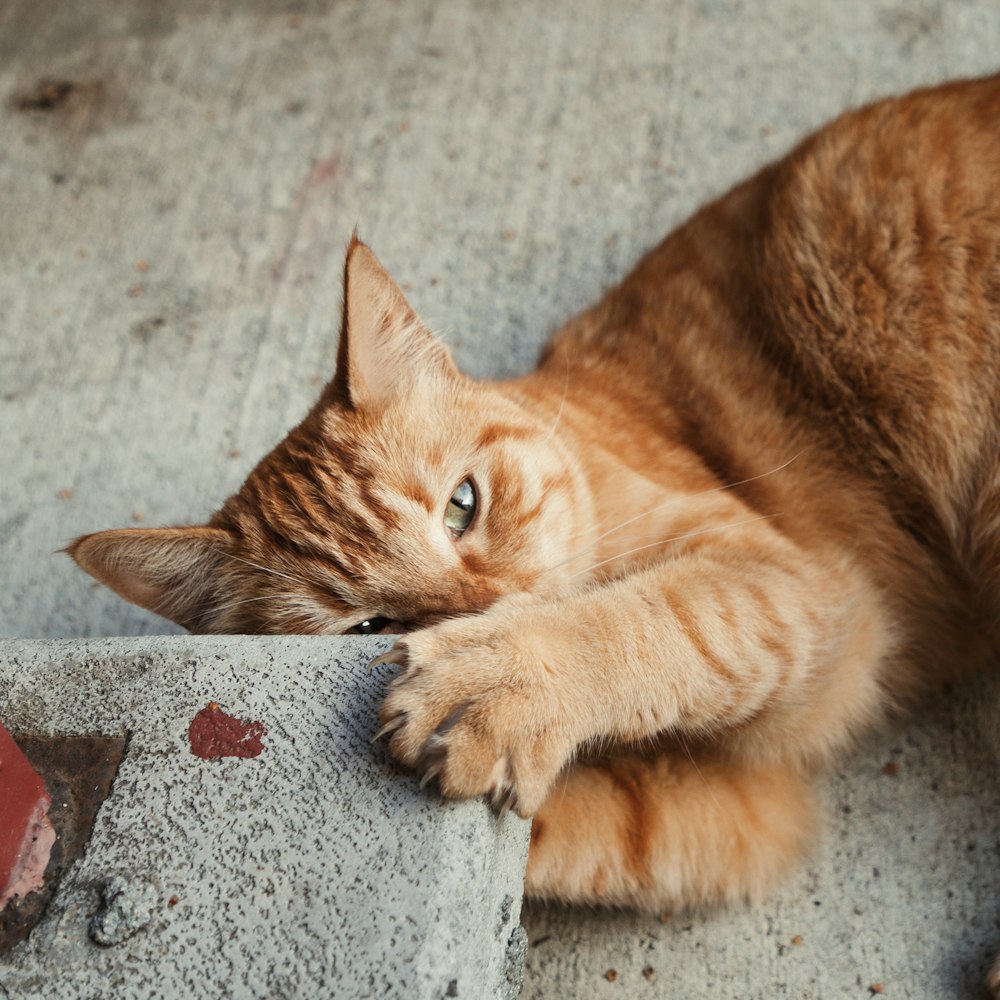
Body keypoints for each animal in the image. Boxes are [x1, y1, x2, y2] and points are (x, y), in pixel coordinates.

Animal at [70, 72, 1000, 992]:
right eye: (369, 627)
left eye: (462, 506)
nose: (486, 604)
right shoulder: (742, 806)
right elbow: (580, 833)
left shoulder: (806, 597)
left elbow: (655, 620)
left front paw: (508, 671)